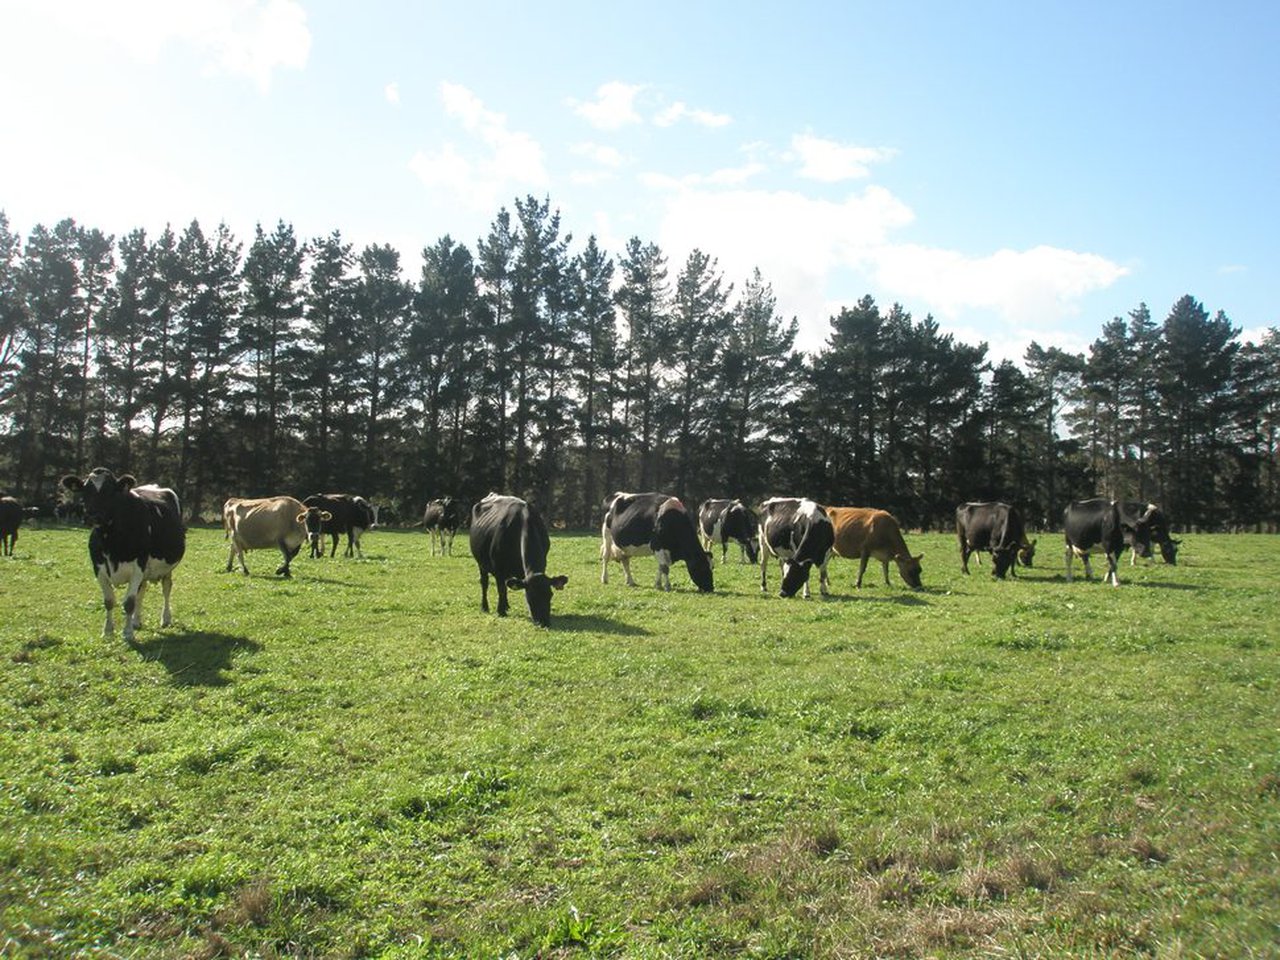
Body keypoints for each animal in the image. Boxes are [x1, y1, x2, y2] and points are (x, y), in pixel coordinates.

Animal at [60, 468, 186, 642]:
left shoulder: (137, 567)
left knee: (166, 588)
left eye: (111, 491)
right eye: (85, 491)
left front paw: (127, 634)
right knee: (142, 590)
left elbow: (129, 603)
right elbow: (109, 601)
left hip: (167, 568)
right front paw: (107, 631)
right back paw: (136, 621)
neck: (110, 541)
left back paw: (165, 619)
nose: (93, 516)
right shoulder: (98, 569)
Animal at [469, 493, 568, 627]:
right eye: (530, 596)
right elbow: (501, 589)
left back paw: (506, 605)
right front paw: (500, 611)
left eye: (550, 595)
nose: (544, 622)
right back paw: (485, 607)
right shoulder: (499, 569)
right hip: (481, 564)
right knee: (485, 583)